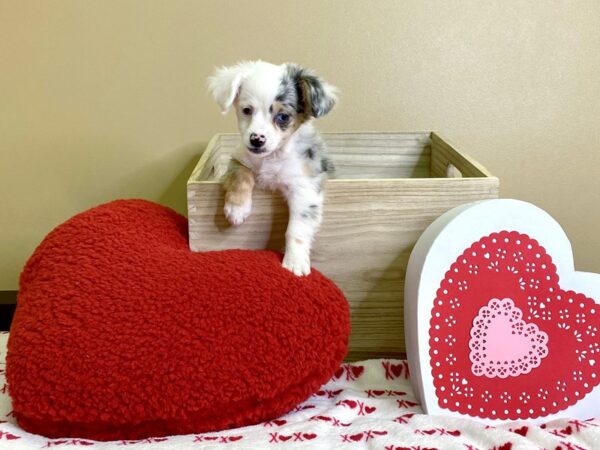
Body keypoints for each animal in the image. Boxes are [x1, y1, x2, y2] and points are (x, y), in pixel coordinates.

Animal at [209, 61, 336, 276]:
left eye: (283, 116)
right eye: (246, 110)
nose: (256, 140)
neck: (271, 158)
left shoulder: (304, 189)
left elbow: (297, 228)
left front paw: (294, 261)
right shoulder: (238, 159)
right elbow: (241, 175)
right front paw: (237, 208)